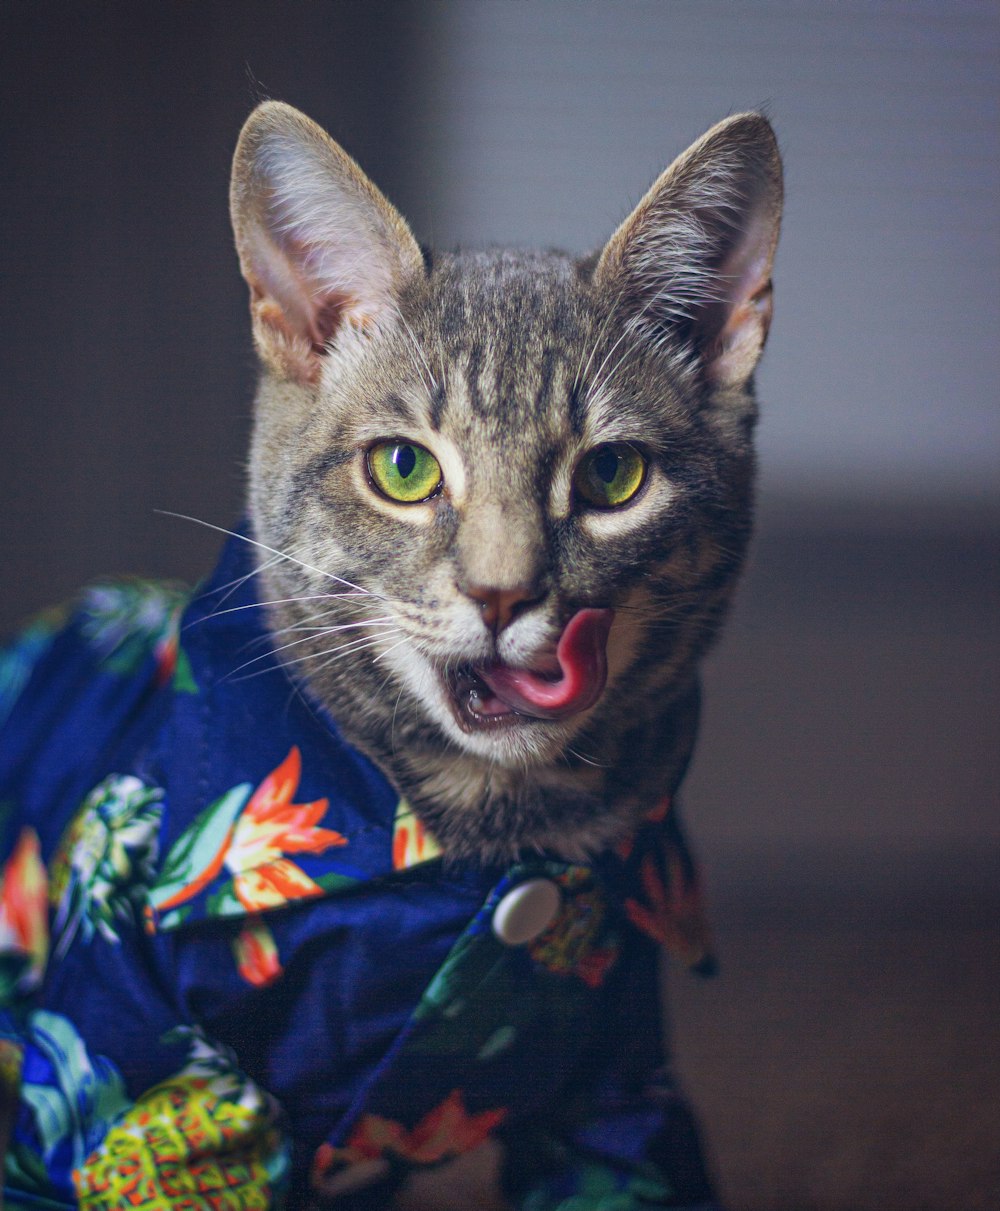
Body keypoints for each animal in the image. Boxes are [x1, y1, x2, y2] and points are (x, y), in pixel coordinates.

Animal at [0, 101, 779, 1211]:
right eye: (404, 468)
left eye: (614, 476)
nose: (503, 593)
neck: (486, 830)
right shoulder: (140, 1073)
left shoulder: (617, 1086)